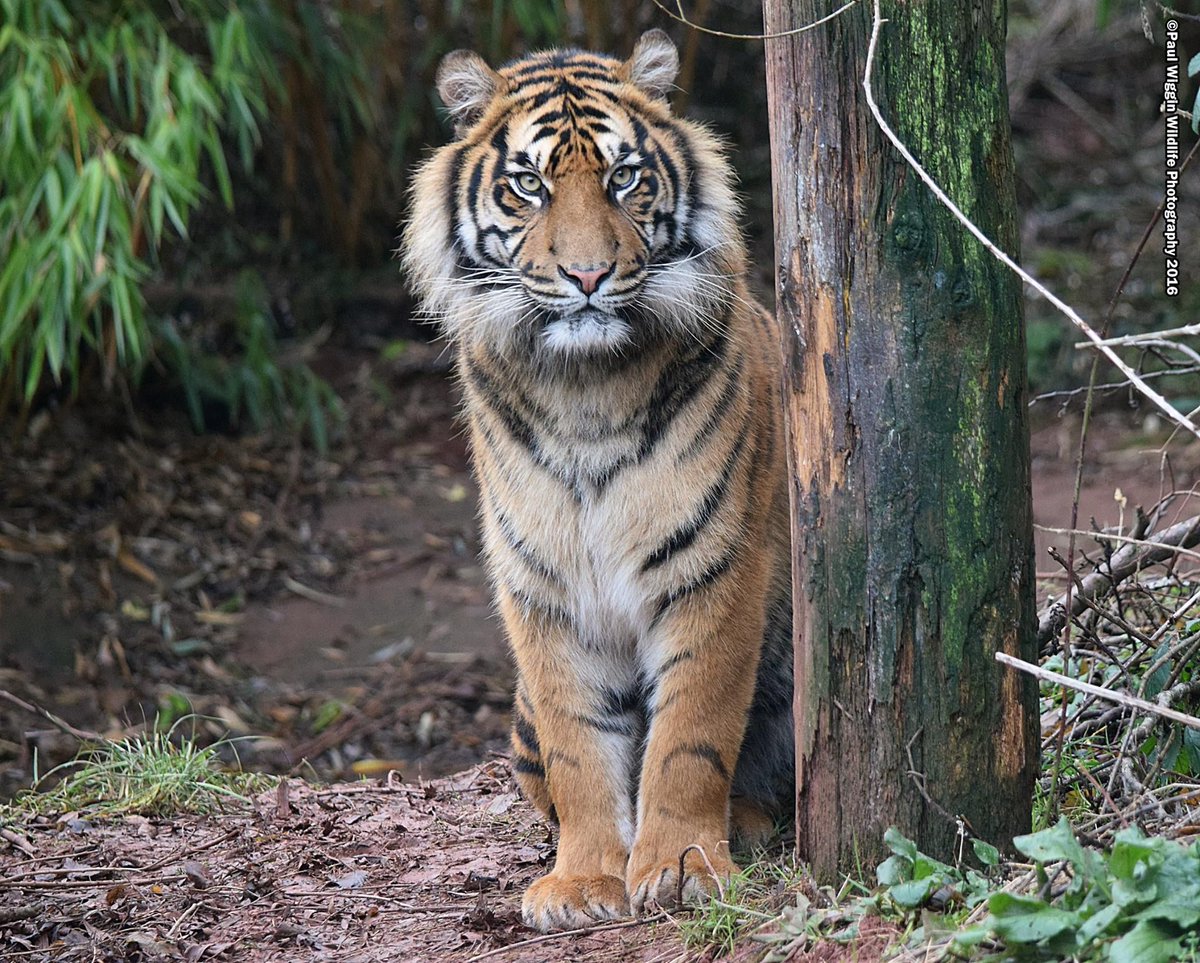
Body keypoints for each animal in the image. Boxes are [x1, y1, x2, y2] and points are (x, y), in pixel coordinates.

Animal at [403, 30, 792, 931]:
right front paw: (583, 881)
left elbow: (691, 731)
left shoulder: (714, 566)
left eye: (624, 177)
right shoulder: (540, 583)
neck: (584, 390)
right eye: (529, 184)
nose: (587, 277)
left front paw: (683, 865)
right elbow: (579, 745)